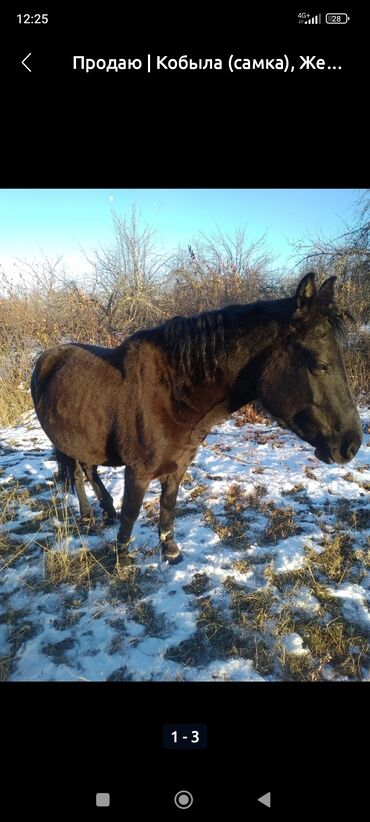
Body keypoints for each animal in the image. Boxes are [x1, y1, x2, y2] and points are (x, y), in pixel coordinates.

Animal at [31, 274, 362, 564]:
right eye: (319, 366)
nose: (352, 445)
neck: (170, 396)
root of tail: (46, 358)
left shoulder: (178, 466)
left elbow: (168, 507)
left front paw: (170, 552)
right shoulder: (137, 472)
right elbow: (132, 513)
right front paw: (122, 558)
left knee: (89, 470)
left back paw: (106, 511)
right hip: (64, 442)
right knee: (76, 475)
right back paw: (88, 517)